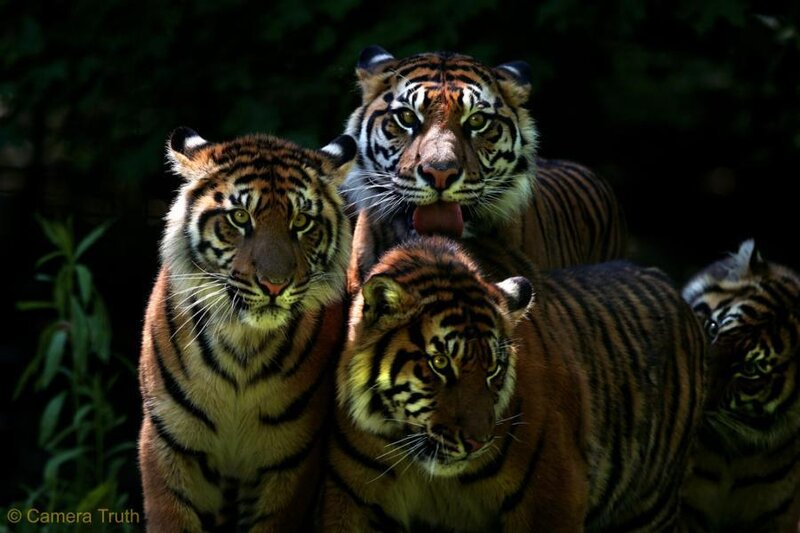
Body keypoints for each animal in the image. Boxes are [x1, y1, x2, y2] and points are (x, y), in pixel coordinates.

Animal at [137, 127, 355, 532]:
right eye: (240, 217)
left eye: (301, 222)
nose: (274, 285)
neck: (243, 341)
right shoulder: (170, 443)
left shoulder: (290, 460)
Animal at [323, 236, 705, 532]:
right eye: (440, 363)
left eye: (493, 368)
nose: (476, 443)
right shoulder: (352, 502)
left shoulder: (552, 499)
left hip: (650, 504)